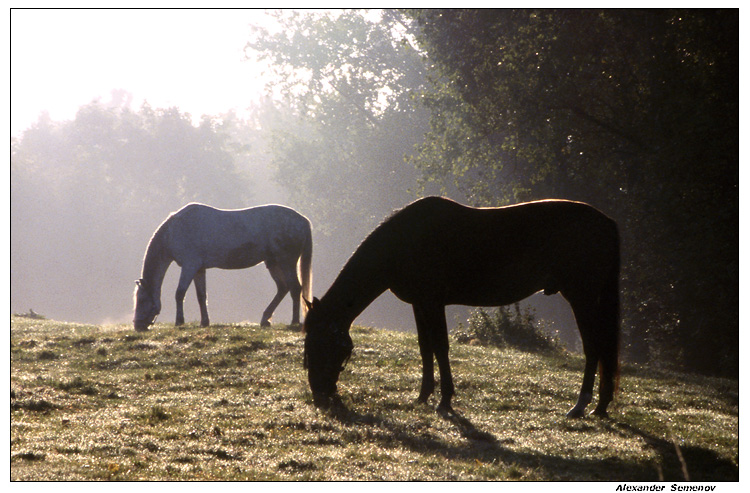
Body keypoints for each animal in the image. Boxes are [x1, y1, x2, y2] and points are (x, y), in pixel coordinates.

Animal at [134, 202, 312, 332]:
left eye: (141, 299)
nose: (137, 326)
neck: (174, 231)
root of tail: (303, 220)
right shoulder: (199, 269)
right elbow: (201, 296)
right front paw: (204, 322)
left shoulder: (189, 266)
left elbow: (180, 293)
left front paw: (179, 322)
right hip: (273, 263)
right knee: (283, 288)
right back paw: (265, 319)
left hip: (286, 262)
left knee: (295, 288)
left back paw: (294, 321)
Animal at [306, 194, 624, 418]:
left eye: (322, 344)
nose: (319, 393)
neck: (404, 241)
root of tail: (608, 222)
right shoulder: (419, 304)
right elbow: (425, 348)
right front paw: (423, 396)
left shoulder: (433, 303)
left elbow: (441, 348)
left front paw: (445, 400)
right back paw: (600, 406)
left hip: (581, 297)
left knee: (593, 348)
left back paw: (580, 405)